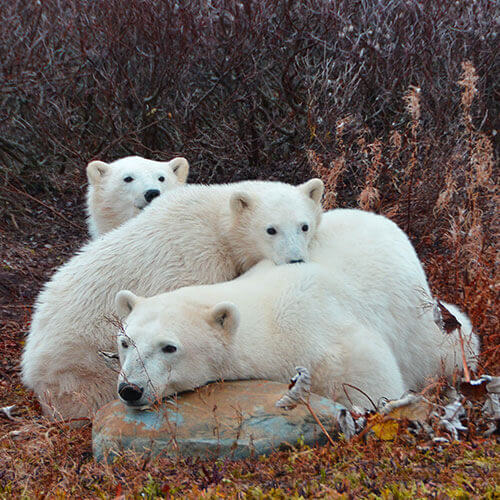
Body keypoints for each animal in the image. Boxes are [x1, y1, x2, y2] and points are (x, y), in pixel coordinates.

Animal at [21, 178, 324, 420]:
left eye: (304, 226)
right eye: (271, 229)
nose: (295, 260)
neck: (214, 219)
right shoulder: (198, 260)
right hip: (79, 368)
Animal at [114, 260, 476, 412]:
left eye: (169, 347)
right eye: (125, 342)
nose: (131, 389)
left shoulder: (327, 338)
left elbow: (372, 386)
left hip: (420, 319)